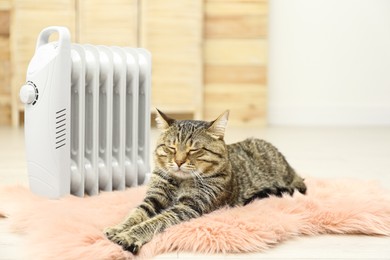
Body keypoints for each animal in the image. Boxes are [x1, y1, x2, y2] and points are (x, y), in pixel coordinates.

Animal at [105, 109, 306, 254]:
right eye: (171, 148)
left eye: (194, 150)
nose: (178, 162)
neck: (180, 181)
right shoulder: (154, 197)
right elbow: (136, 213)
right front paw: (119, 228)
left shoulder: (189, 206)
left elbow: (155, 221)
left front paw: (129, 235)